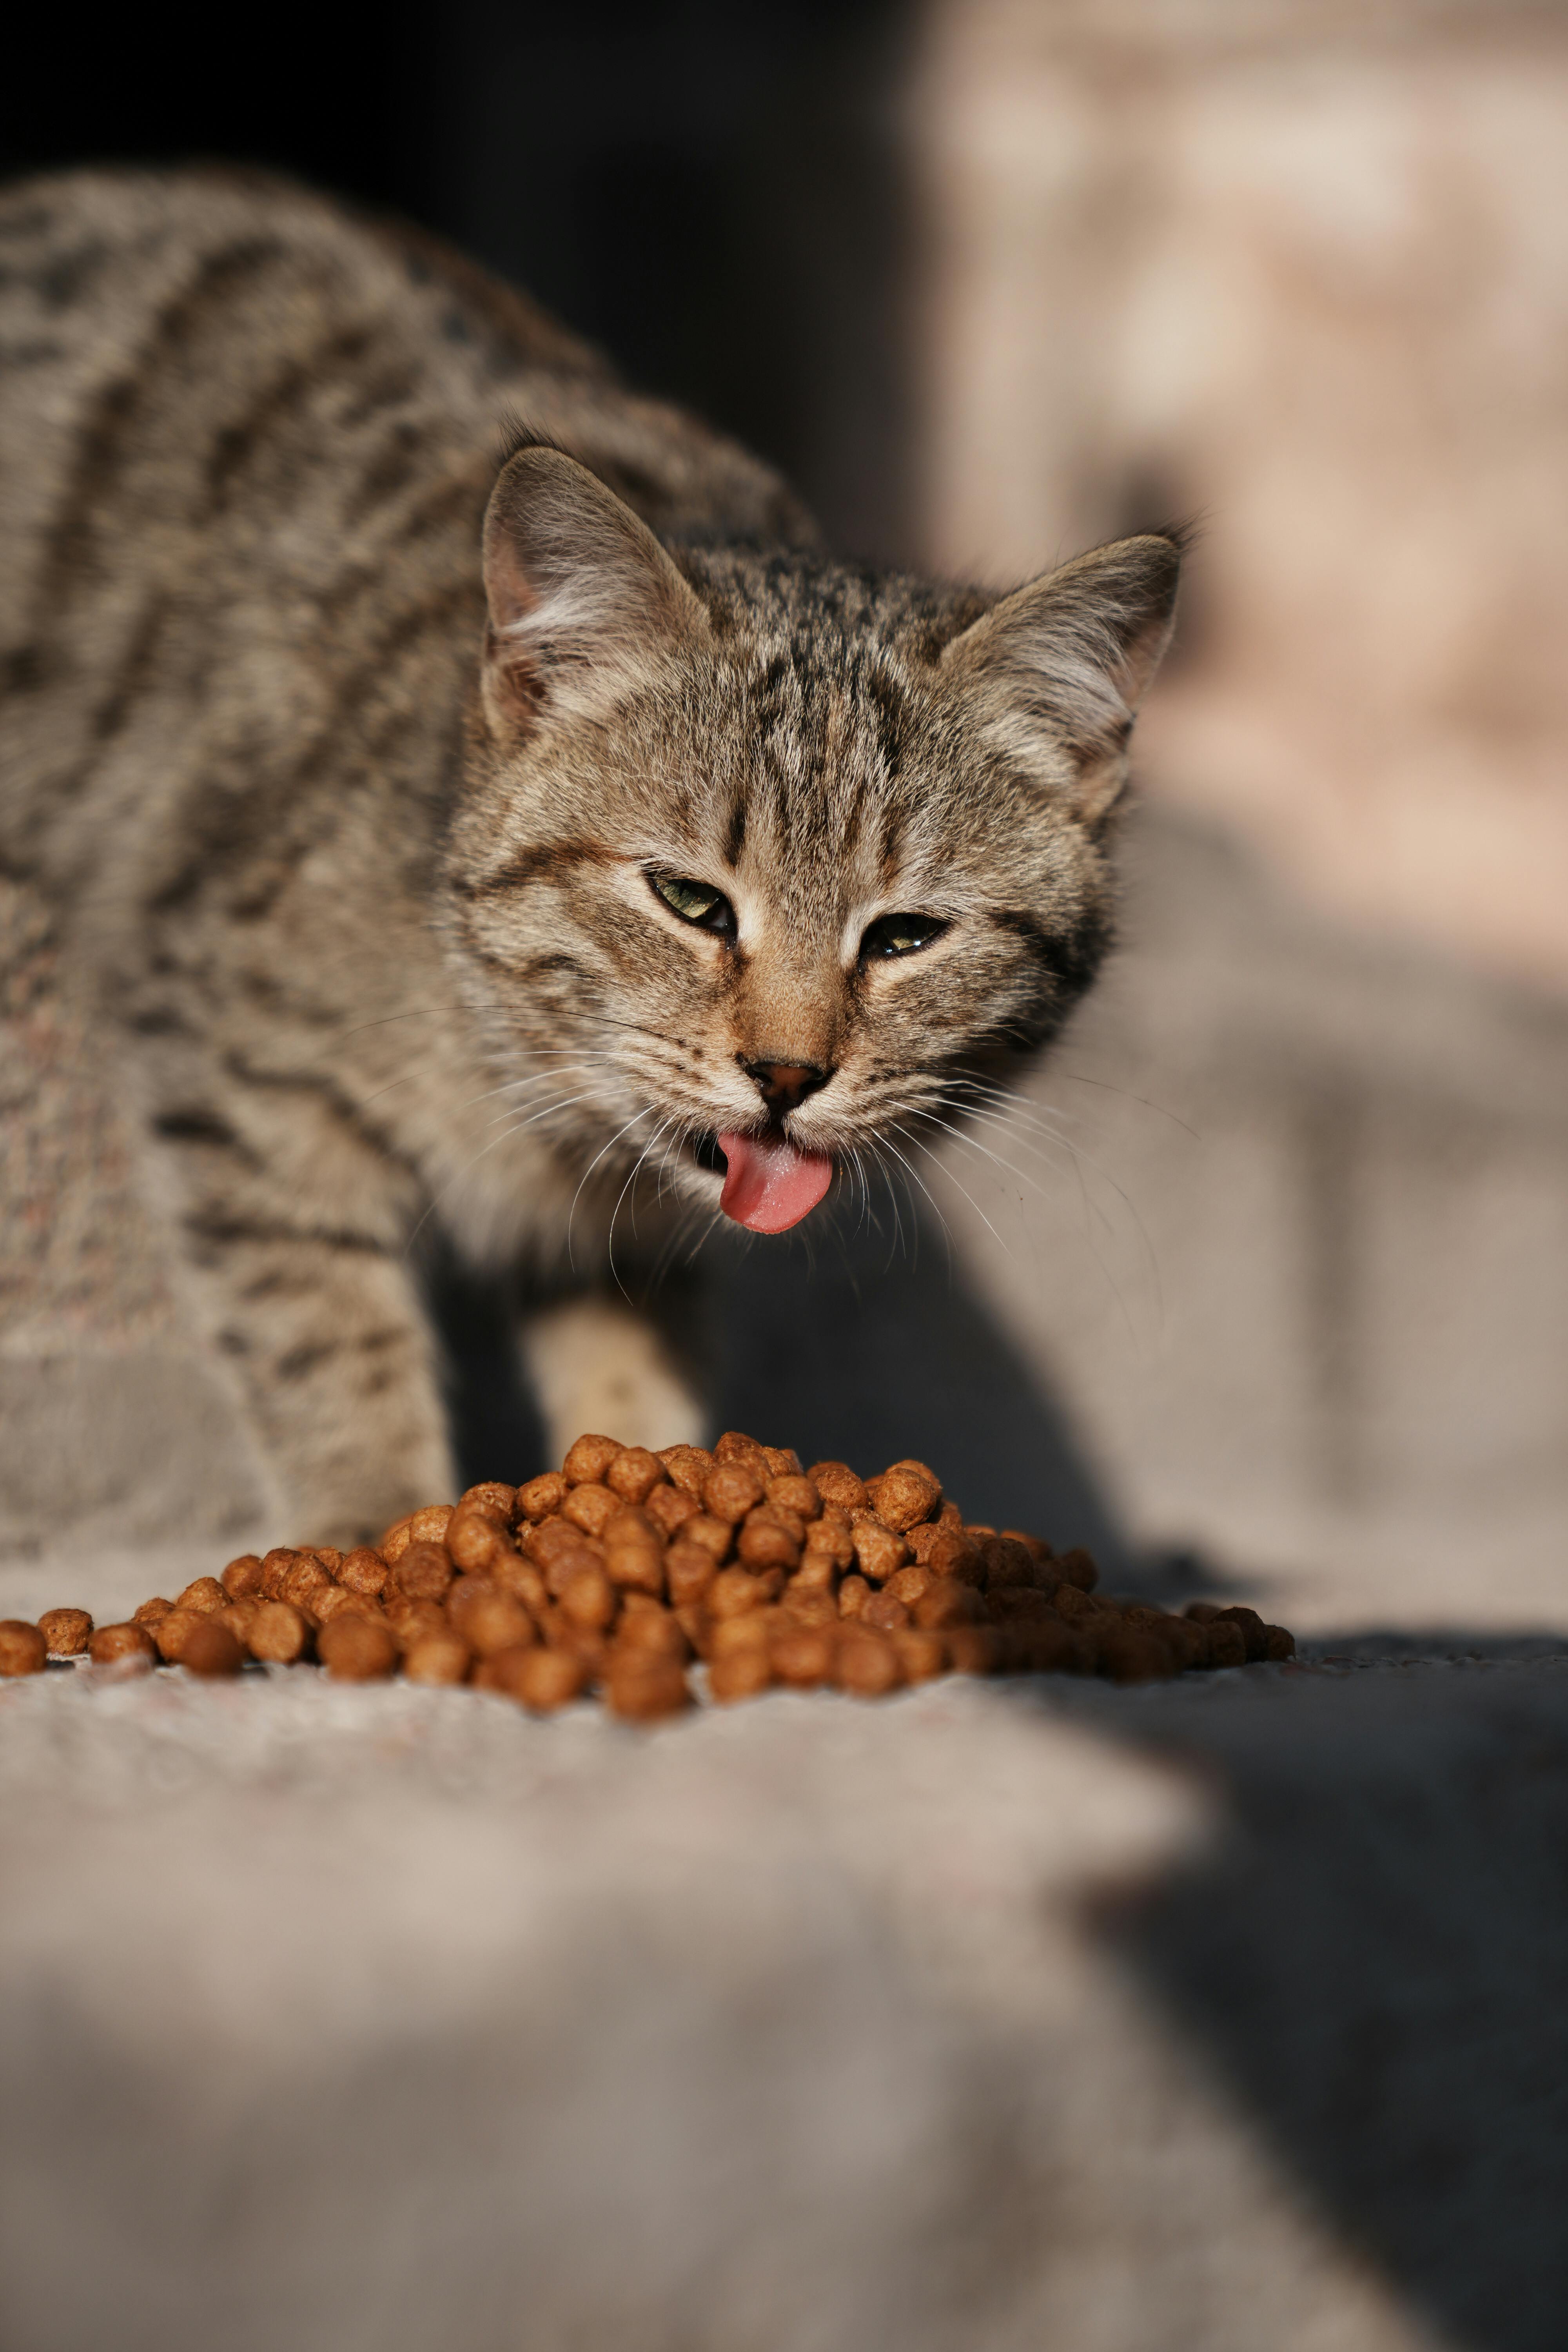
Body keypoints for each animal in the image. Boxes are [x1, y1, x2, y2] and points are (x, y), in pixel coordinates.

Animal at [0, 174, 1175, 1552]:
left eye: (903, 937)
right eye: (689, 901)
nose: (786, 1076)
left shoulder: (621, 1234)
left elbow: (630, 1365)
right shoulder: (233, 1054)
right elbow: (321, 1322)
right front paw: (373, 1523)